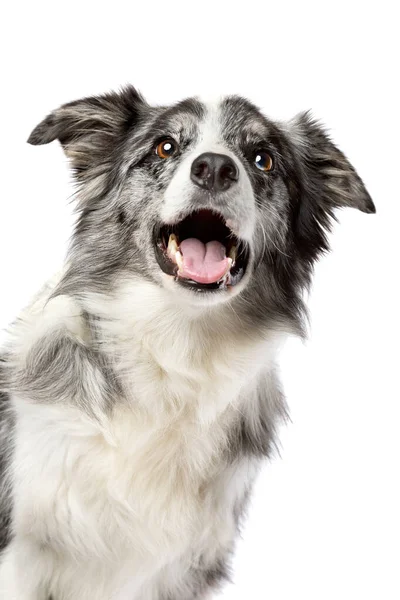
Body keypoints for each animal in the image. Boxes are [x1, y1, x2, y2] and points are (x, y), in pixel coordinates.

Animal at [0, 85, 376, 600]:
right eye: (165, 147)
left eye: (262, 159)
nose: (215, 167)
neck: (177, 348)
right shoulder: (23, 553)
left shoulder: (182, 568)